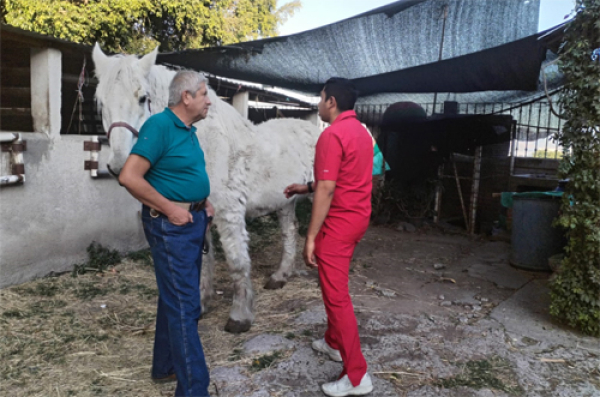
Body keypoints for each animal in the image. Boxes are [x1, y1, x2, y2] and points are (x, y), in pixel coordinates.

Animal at [91, 44, 322, 332]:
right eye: (101, 102)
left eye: (143, 98)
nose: (119, 165)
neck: (205, 144)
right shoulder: (200, 213)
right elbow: (202, 262)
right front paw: (200, 305)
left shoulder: (229, 212)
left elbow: (237, 261)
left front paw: (240, 316)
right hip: (286, 200)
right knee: (289, 233)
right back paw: (280, 276)